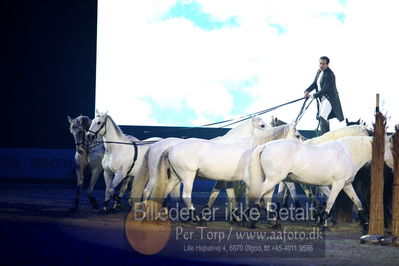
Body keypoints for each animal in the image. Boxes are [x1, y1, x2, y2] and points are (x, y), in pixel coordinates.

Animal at [153, 122, 304, 222]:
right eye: (297, 135)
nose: (304, 148)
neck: (255, 149)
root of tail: (172, 147)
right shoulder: (249, 180)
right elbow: (253, 196)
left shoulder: (228, 180)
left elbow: (228, 197)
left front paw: (239, 217)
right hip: (188, 176)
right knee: (186, 195)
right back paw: (196, 218)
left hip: (176, 177)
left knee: (165, 191)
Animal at [248, 136, 396, 230]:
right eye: (390, 148)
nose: (394, 167)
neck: (347, 153)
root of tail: (265, 146)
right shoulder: (338, 184)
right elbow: (330, 203)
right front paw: (324, 225)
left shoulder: (346, 185)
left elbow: (358, 202)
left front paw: (365, 225)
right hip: (273, 179)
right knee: (260, 194)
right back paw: (253, 220)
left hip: (272, 180)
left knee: (267, 198)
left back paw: (273, 223)